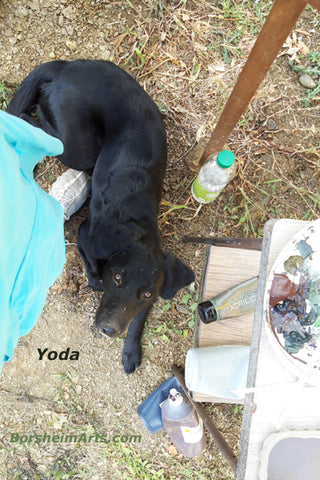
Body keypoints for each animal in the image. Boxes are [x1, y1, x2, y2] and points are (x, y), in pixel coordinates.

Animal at [8, 60, 195, 374]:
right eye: (117, 277)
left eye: (146, 294)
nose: (109, 330)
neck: (135, 227)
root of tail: (65, 66)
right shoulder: (84, 235)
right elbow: (93, 270)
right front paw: (95, 279)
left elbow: (137, 320)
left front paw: (131, 350)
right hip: (79, 147)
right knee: (31, 120)